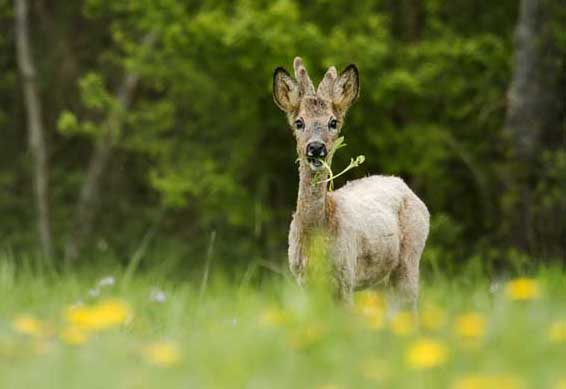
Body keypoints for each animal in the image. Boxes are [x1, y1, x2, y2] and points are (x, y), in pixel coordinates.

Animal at [274, 56, 430, 310]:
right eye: (299, 122)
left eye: (333, 122)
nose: (315, 148)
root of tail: (404, 185)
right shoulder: (303, 279)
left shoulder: (345, 274)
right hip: (380, 279)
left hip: (410, 256)